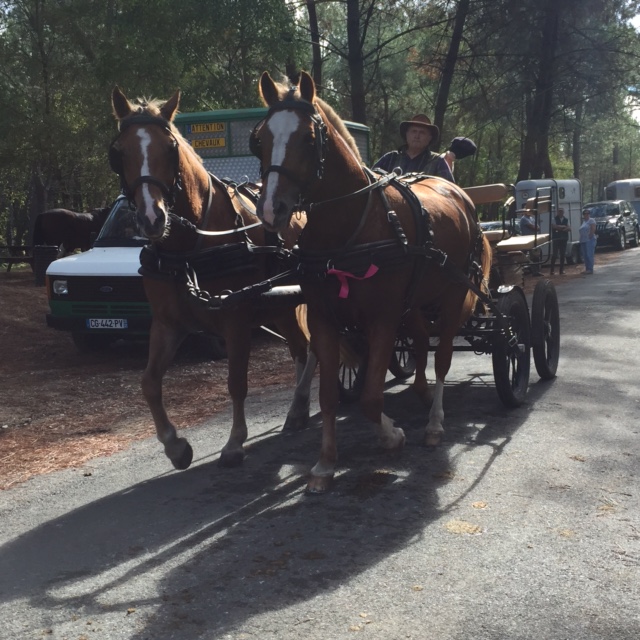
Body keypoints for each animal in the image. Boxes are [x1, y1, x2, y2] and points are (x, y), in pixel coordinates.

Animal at [110, 86, 316, 470]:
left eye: (170, 148)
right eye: (119, 152)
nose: (152, 218)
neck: (191, 248)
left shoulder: (235, 320)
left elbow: (236, 382)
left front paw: (234, 443)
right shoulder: (168, 324)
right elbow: (149, 382)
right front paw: (175, 446)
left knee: (314, 349)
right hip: (280, 307)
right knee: (301, 348)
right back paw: (298, 408)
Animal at [254, 71, 490, 496]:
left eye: (309, 139)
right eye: (260, 138)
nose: (270, 209)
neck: (349, 228)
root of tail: (456, 192)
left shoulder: (381, 319)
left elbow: (370, 397)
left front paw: (391, 436)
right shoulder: (325, 319)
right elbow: (329, 396)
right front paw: (325, 463)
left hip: (451, 297)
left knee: (443, 357)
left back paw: (434, 422)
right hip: (414, 303)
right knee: (419, 343)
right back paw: (420, 392)